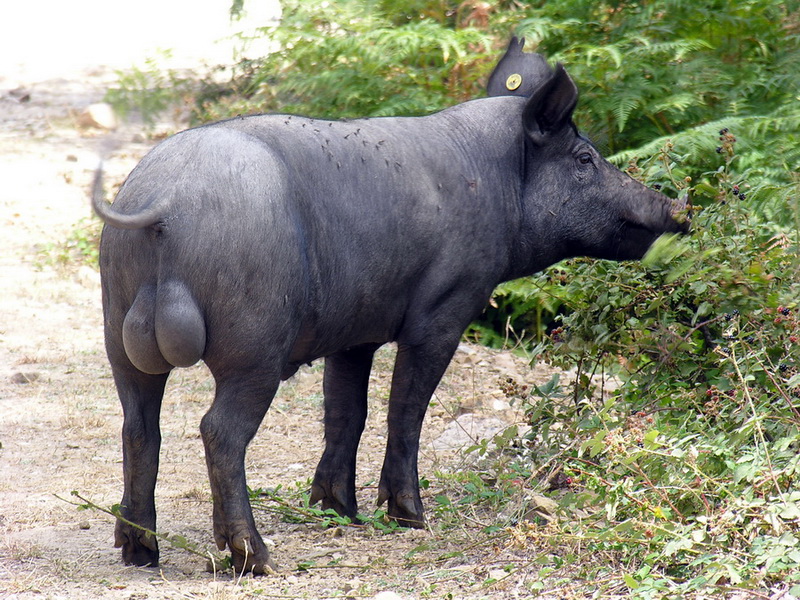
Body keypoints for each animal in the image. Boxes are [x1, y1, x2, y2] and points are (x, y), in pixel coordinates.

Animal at [90, 59, 684, 572]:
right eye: (584, 158)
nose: (678, 208)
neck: (496, 183)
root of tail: (165, 201)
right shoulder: (443, 313)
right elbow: (406, 410)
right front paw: (412, 518)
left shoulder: (354, 333)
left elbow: (346, 411)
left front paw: (338, 511)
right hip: (253, 343)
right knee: (218, 431)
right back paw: (254, 559)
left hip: (115, 329)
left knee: (138, 428)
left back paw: (140, 553)